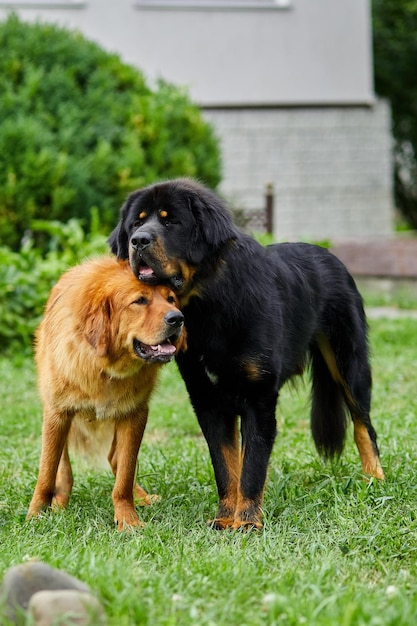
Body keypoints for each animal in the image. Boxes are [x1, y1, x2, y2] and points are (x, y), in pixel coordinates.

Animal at [26, 256, 184, 528]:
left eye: (170, 299)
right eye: (140, 301)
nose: (178, 318)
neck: (104, 367)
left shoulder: (134, 415)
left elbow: (125, 475)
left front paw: (127, 520)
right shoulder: (57, 412)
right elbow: (47, 473)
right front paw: (35, 516)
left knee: (115, 460)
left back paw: (142, 498)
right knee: (64, 467)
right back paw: (60, 502)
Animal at [109, 178, 386, 528]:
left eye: (171, 222)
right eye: (136, 222)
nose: (139, 240)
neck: (205, 304)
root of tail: (329, 255)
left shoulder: (259, 397)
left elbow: (252, 467)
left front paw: (248, 522)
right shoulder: (208, 399)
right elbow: (227, 466)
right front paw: (226, 518)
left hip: (348, 363)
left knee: (364, 423)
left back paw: (374, 478)